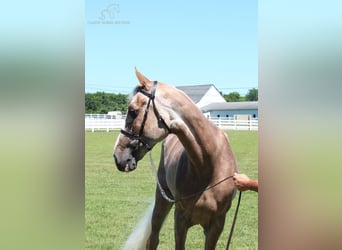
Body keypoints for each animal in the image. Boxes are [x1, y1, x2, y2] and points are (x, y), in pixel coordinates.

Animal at [113, 67, 236, 249]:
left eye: (133, 111)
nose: (118, 156)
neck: (208, 166)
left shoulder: (216, 225)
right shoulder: (180, 220)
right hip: (161, 201)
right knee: (153, 239)